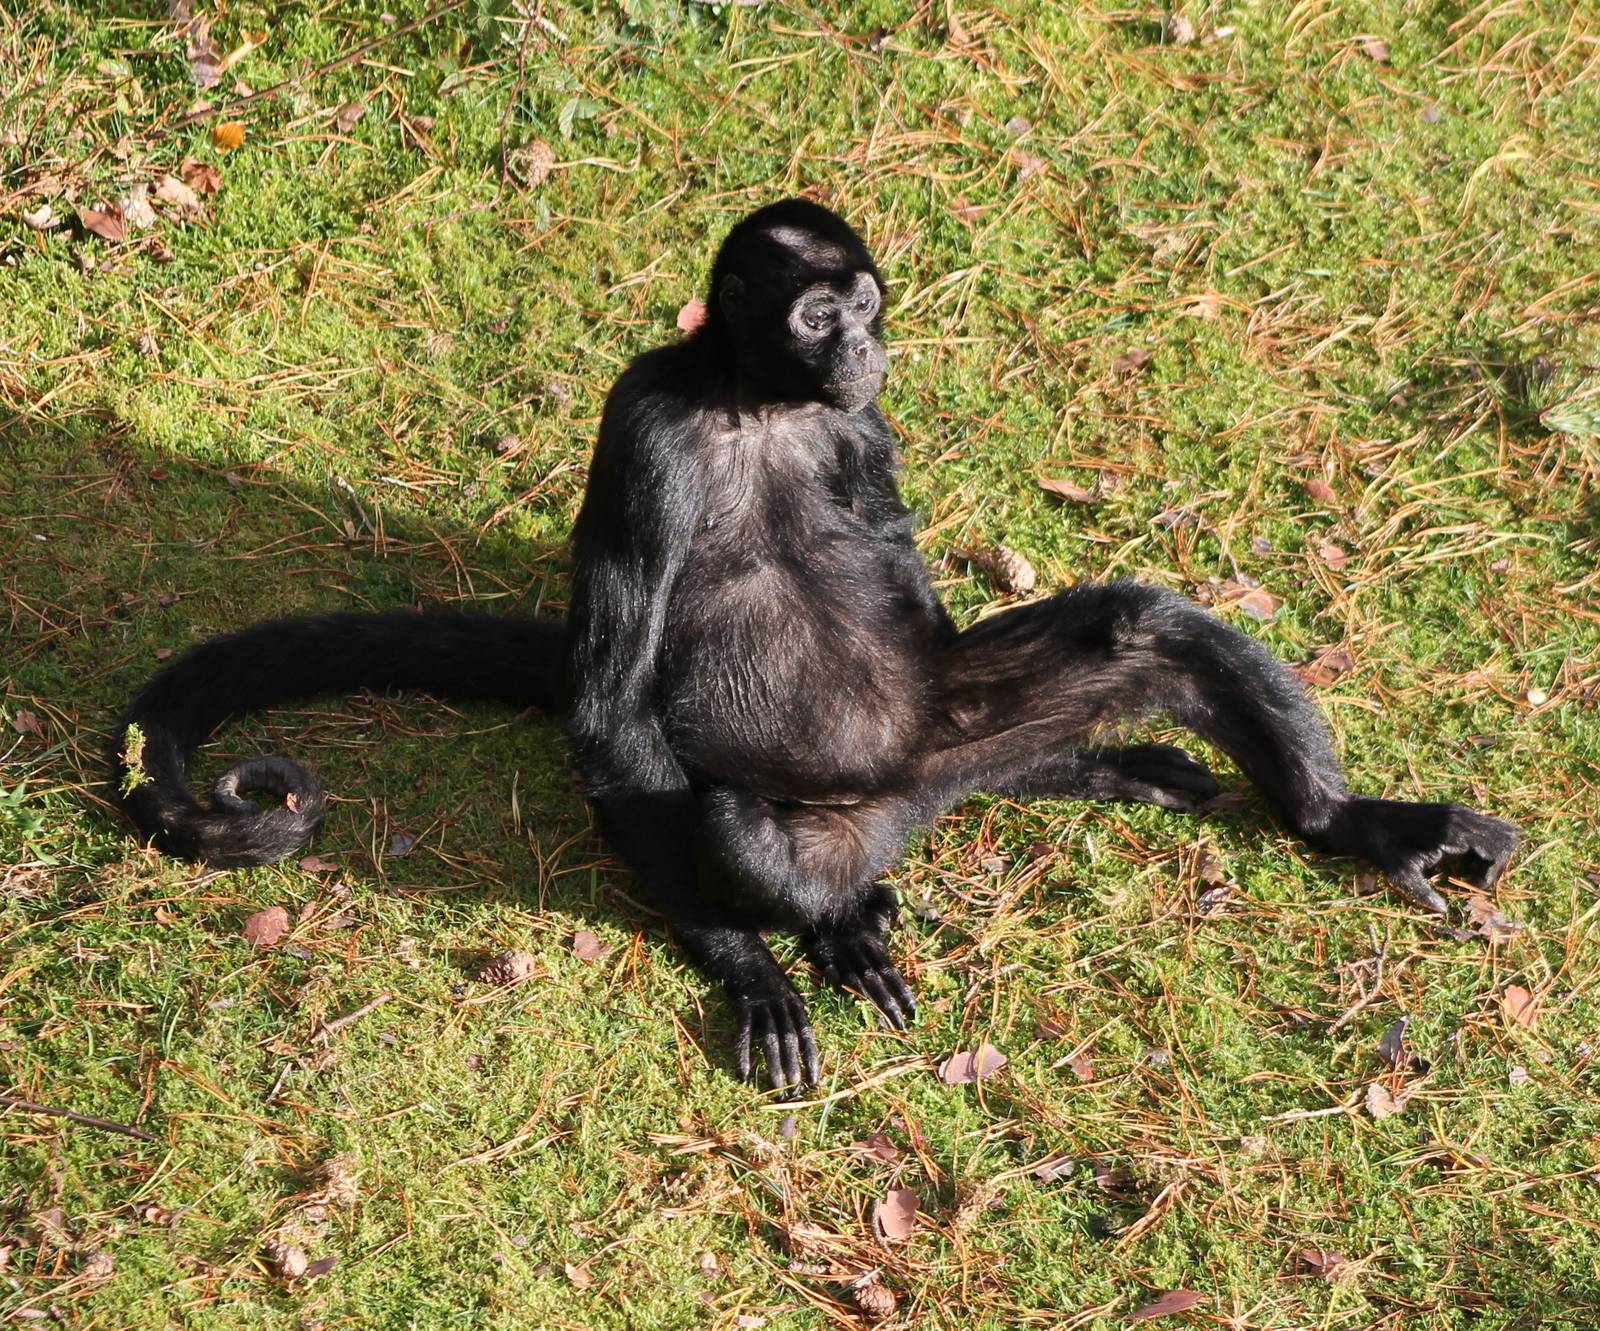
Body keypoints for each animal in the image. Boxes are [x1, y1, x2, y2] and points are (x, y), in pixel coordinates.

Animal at [118, 198, 1519, 1091]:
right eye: (815, 313)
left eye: (864, 308)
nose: (863, 342)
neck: (759, 404)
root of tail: (909, 793)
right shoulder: (646, 421)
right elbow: (614, 714)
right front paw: (749, 966)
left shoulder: (863, 431)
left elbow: (930, 585)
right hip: (832, 806)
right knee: (736, 819)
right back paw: (845, 919)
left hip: (942, 727)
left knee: (1143, 629)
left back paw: (1337, 820)